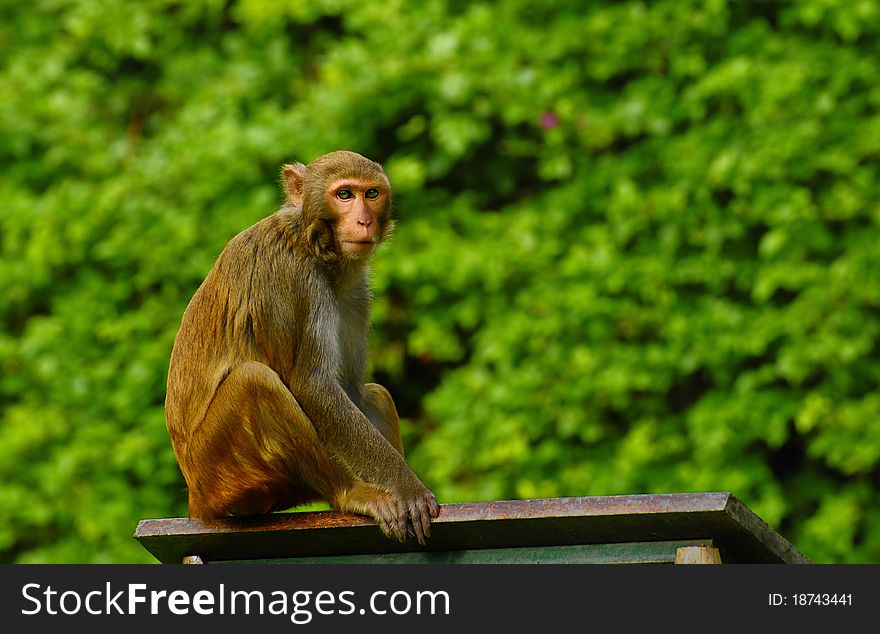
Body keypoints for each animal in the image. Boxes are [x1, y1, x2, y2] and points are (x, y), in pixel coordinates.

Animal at [163, 151, 438, 540]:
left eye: (371, 193)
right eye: (344, 195)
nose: (364, 220)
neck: (315, 244)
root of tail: (195, 497)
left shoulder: (358, 294)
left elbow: (349, 390)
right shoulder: (292, 276)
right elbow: (313, 386)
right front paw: (407, 487)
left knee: (375, 394)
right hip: (219, 475)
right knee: (255, 383)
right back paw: (348, 492)